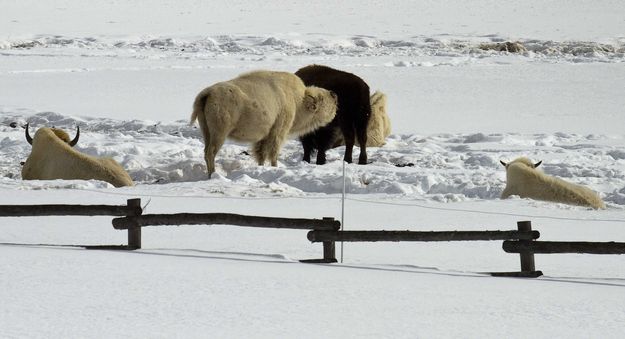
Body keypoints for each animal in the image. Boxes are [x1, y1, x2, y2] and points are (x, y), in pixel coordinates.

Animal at [189, 70, 336, 179]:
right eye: (321, 99)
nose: (334, 95)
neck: (298, 101)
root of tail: (208, 93)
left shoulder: (264, 136)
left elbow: (262, 153)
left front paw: (261, 167)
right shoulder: (278, 131)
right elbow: (273, 152)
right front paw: (275, 167)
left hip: (207, 131)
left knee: (206, 151)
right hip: (220, 133)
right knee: (211, 152)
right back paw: (212, 175)